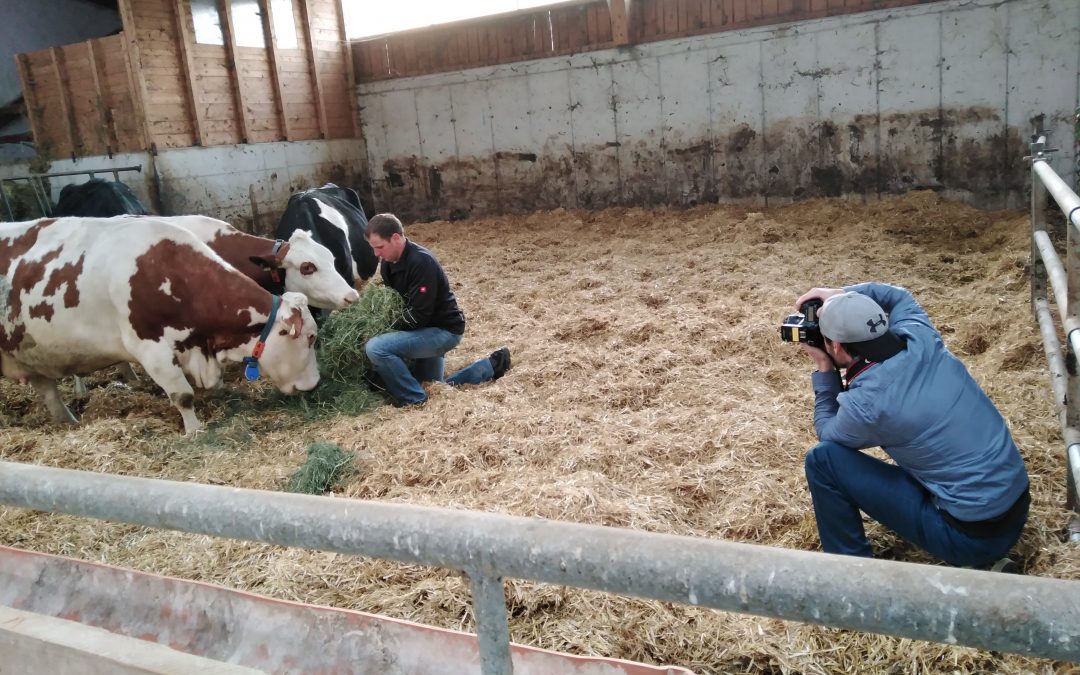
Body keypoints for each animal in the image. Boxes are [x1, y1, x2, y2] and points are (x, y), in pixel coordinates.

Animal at [0, 218, 319, 434]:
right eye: (311, 338)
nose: (314, 385)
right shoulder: (151, 350)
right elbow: (183, 395)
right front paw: (194, 431)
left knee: (49, 393)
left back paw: (69, 422)